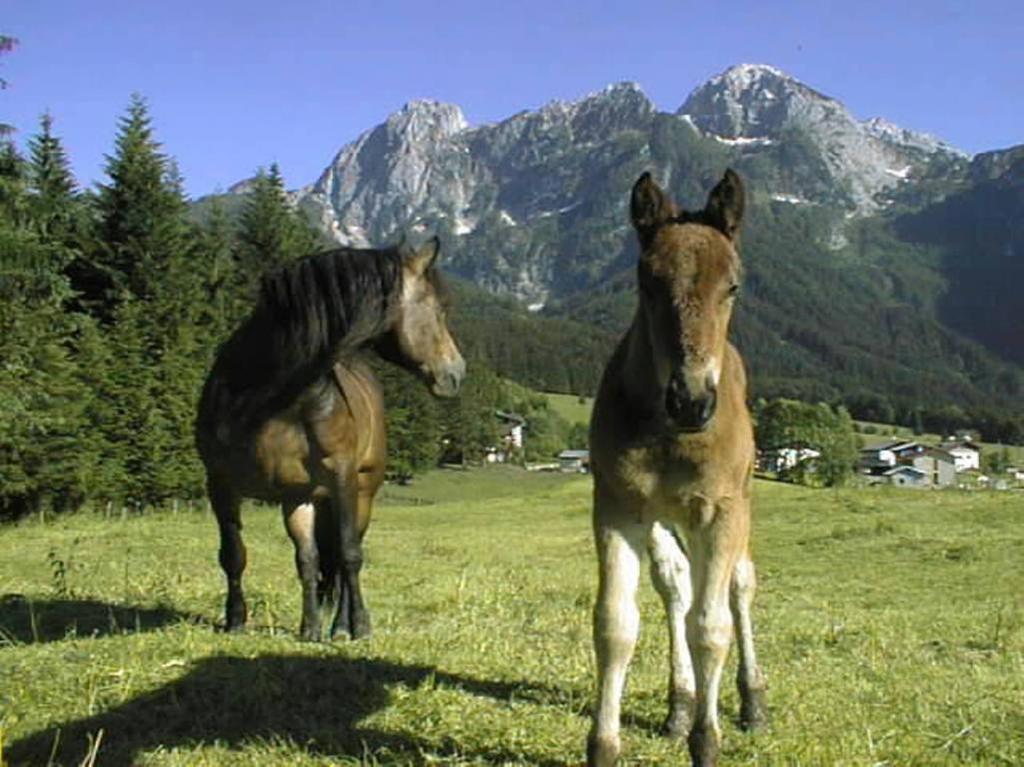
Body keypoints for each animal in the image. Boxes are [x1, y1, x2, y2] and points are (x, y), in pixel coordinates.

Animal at [194, 237, 464, 638]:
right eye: (440, 309)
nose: (457, 373)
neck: (270, 396)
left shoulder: (343, 476)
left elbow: (349, 554)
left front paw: (359, 626)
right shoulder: (222, 483)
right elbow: (238, 555)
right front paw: (238, 619)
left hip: (362, 491)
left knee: (345, 551)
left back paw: (340, 625)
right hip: (301, 497)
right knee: (311, 558)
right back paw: (312, 626)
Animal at [585, 172, 770, 765]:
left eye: (733, 286)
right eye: (647, 283)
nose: (691, 401)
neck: (671, 435)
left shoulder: (719, 510)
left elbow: (711, 627)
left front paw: (707, 744)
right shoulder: (618, 506)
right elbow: (615, 624)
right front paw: (604, 746)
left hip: (737, 505)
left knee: (738, 585)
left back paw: (752, 702)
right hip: (663, 518)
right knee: (676, 584)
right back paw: (679, 704)